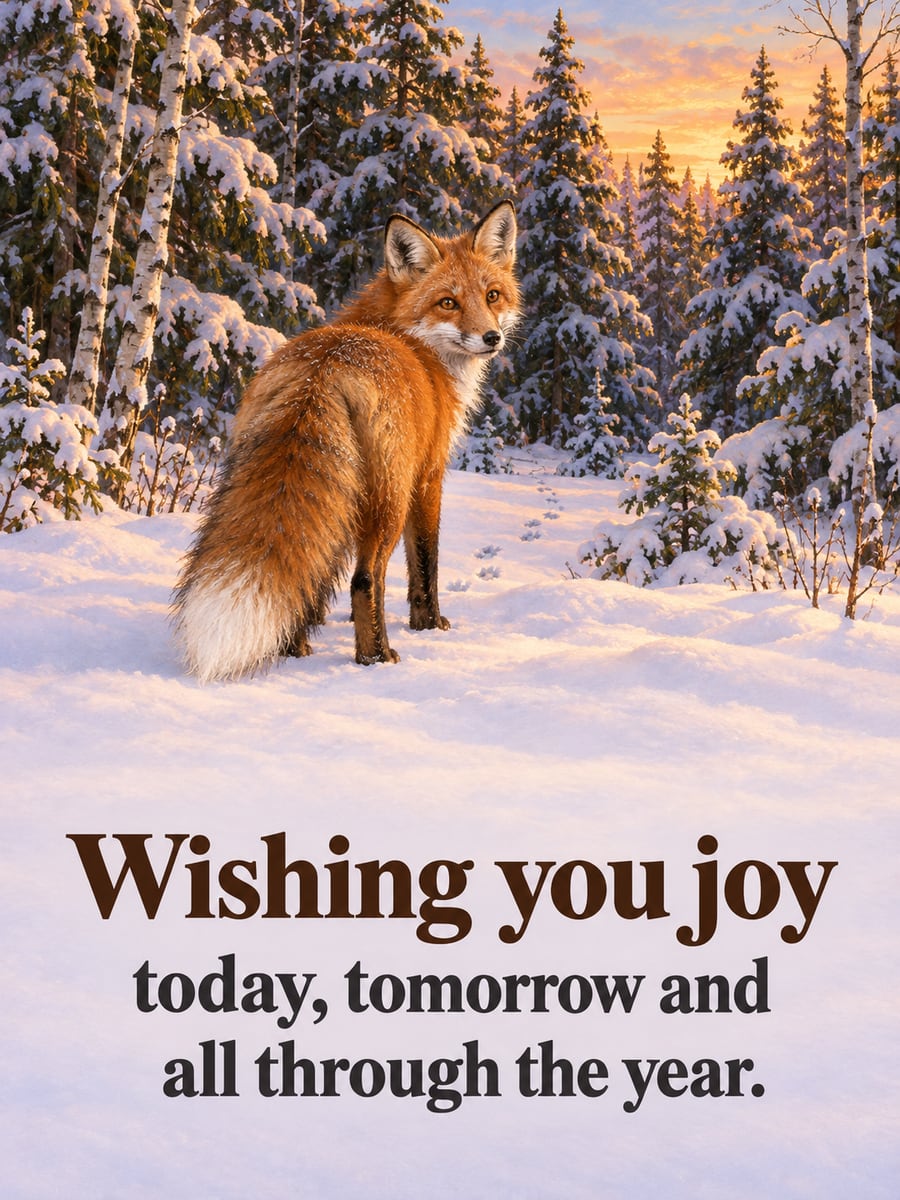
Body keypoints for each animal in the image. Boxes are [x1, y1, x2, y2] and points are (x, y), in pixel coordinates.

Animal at [172, 200, 520, 682]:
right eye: (448, 302)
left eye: (492, 296)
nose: (492, 337)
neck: (411, 340)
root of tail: (325, 367)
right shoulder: (428, 475)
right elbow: (425, 564)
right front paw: (429, 625)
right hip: (389, 500)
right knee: (365, 578)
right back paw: (377, 657)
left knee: (308, 563)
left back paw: (293, 648)